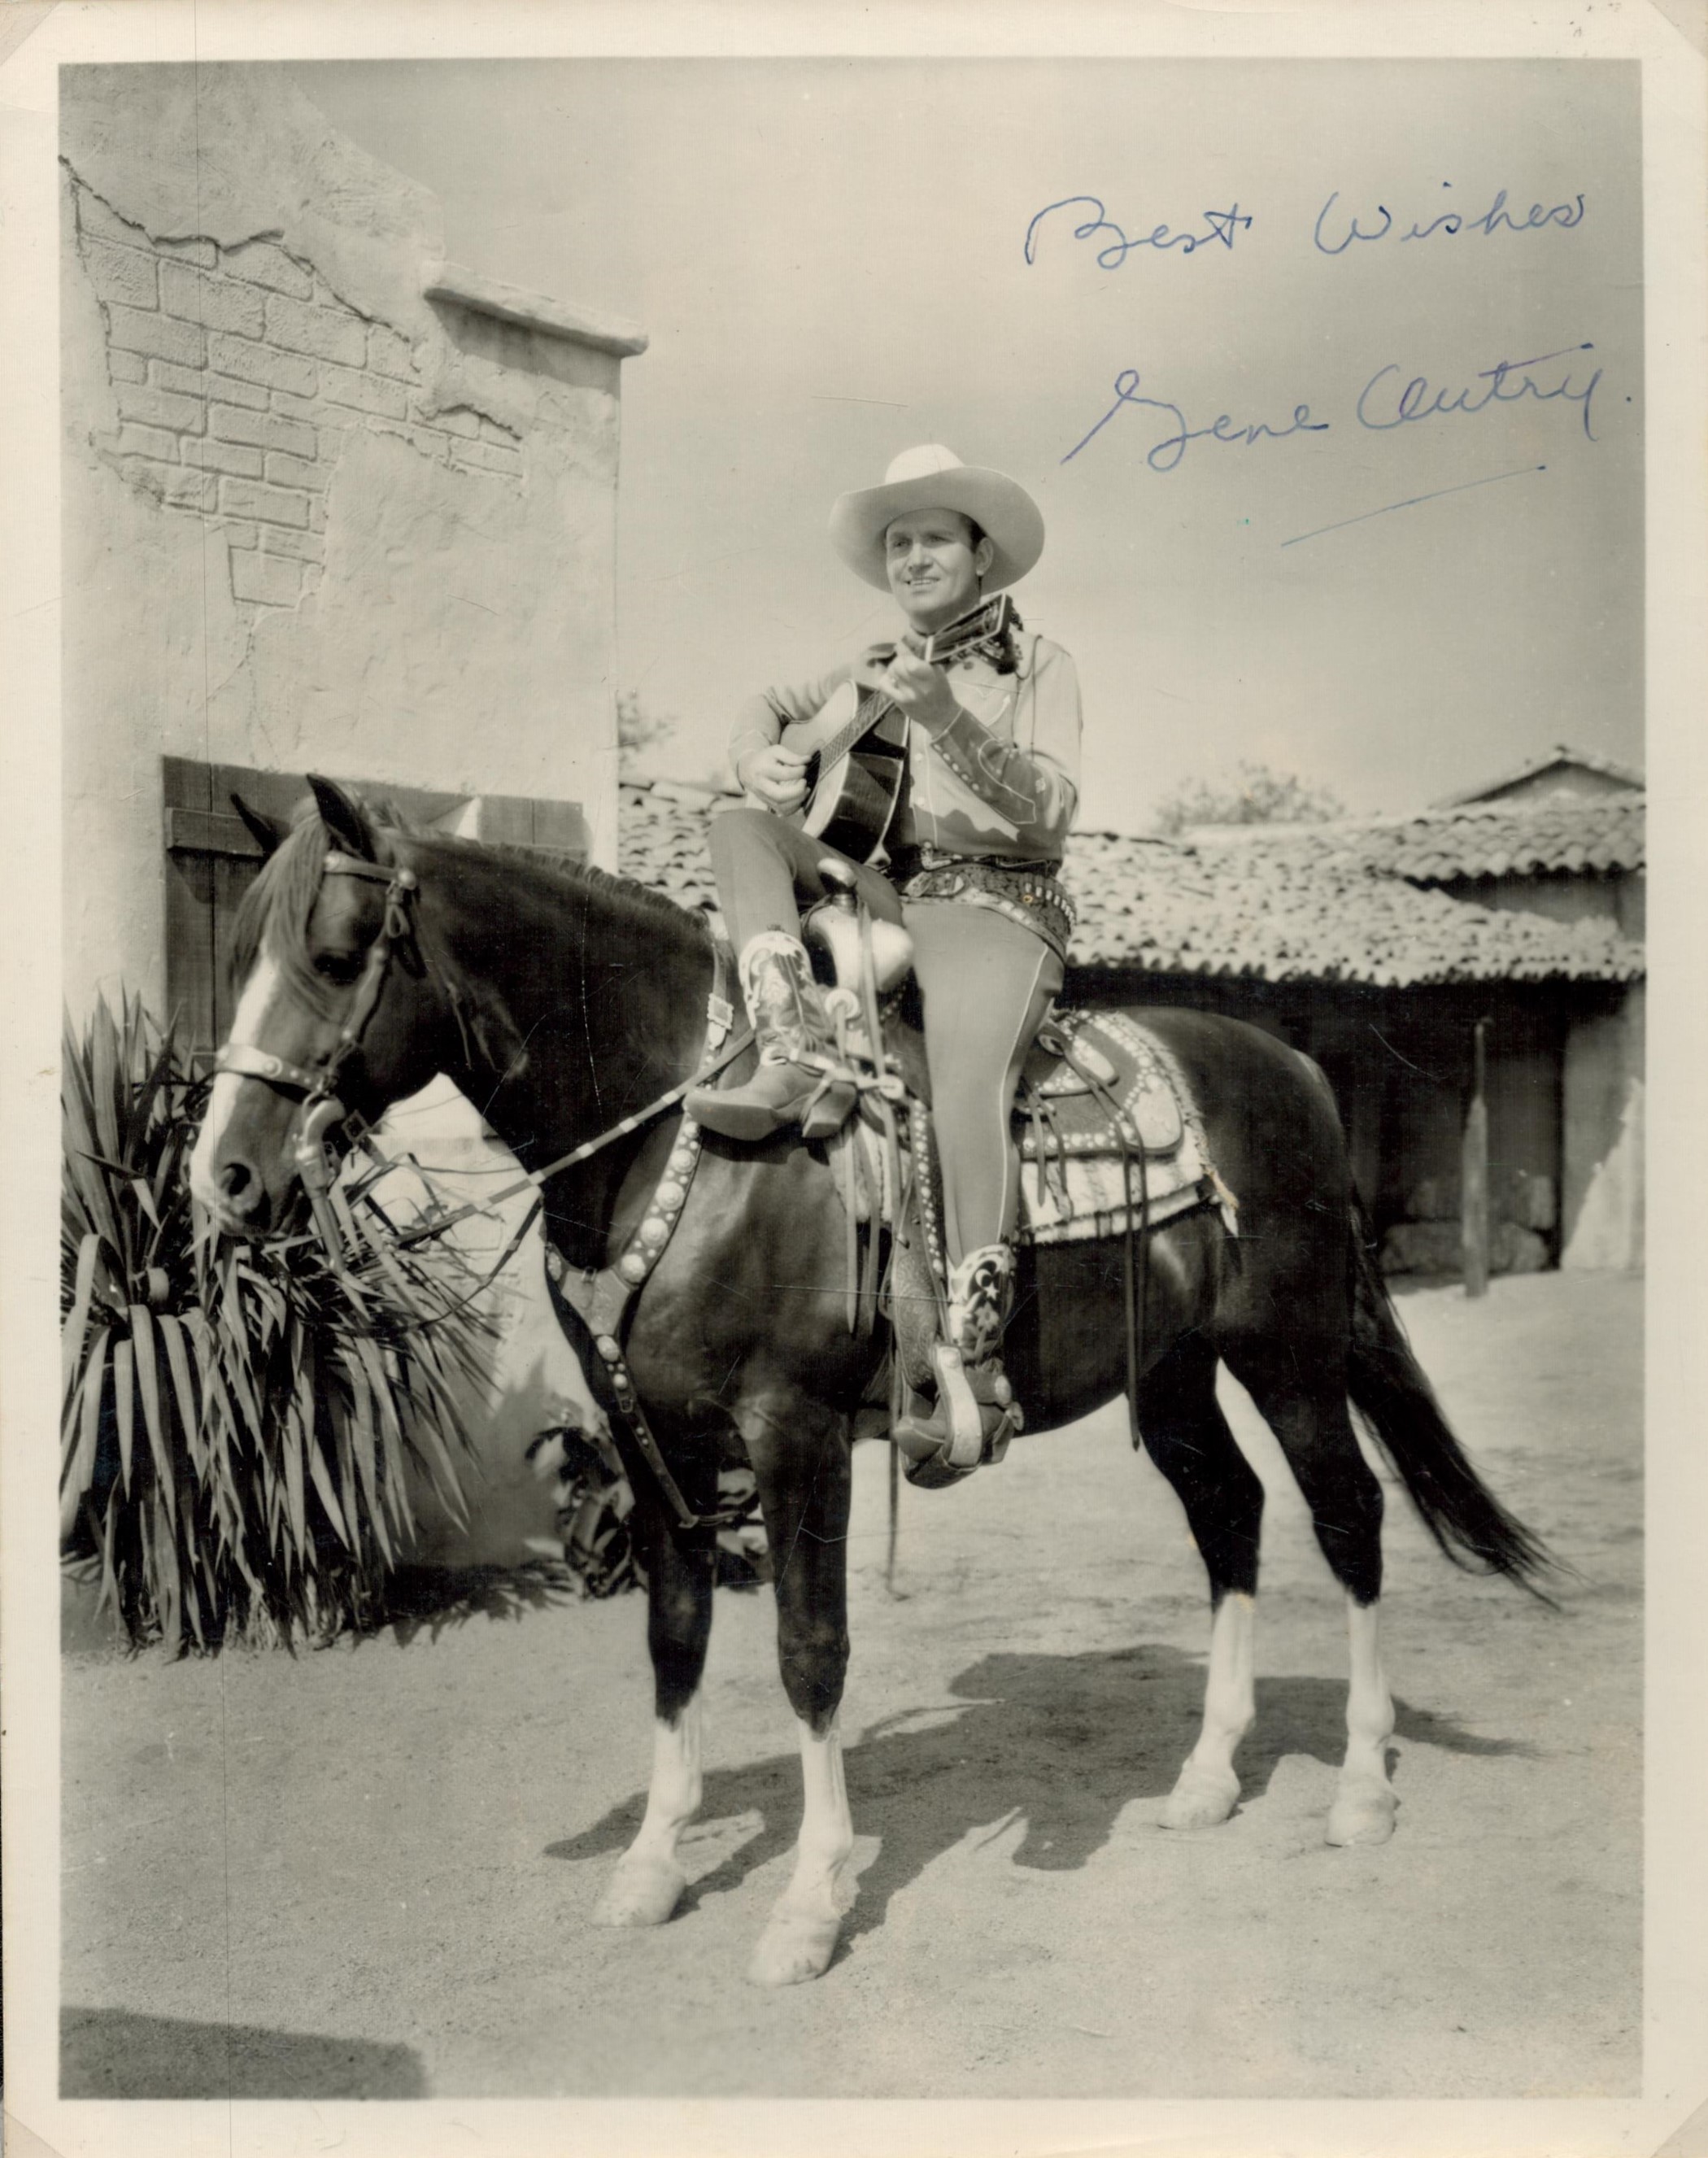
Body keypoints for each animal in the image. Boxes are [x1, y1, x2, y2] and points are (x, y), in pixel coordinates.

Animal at [186, 781, 1544, 1985]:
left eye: (335, 951)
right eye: (241, 950)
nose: (225, 1178)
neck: (687, 1130)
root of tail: (1299, 1072)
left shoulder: (793, 1431)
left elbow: (809, 1649)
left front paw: (810, 1904)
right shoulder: (648, 1432)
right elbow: (675, 1637)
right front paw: (652, 1865)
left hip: (1292, 1352)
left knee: (1347, 1515)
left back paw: (1361, 1788)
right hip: (1171, 1373)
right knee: (1232, 1516)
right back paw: (1209, 1776)